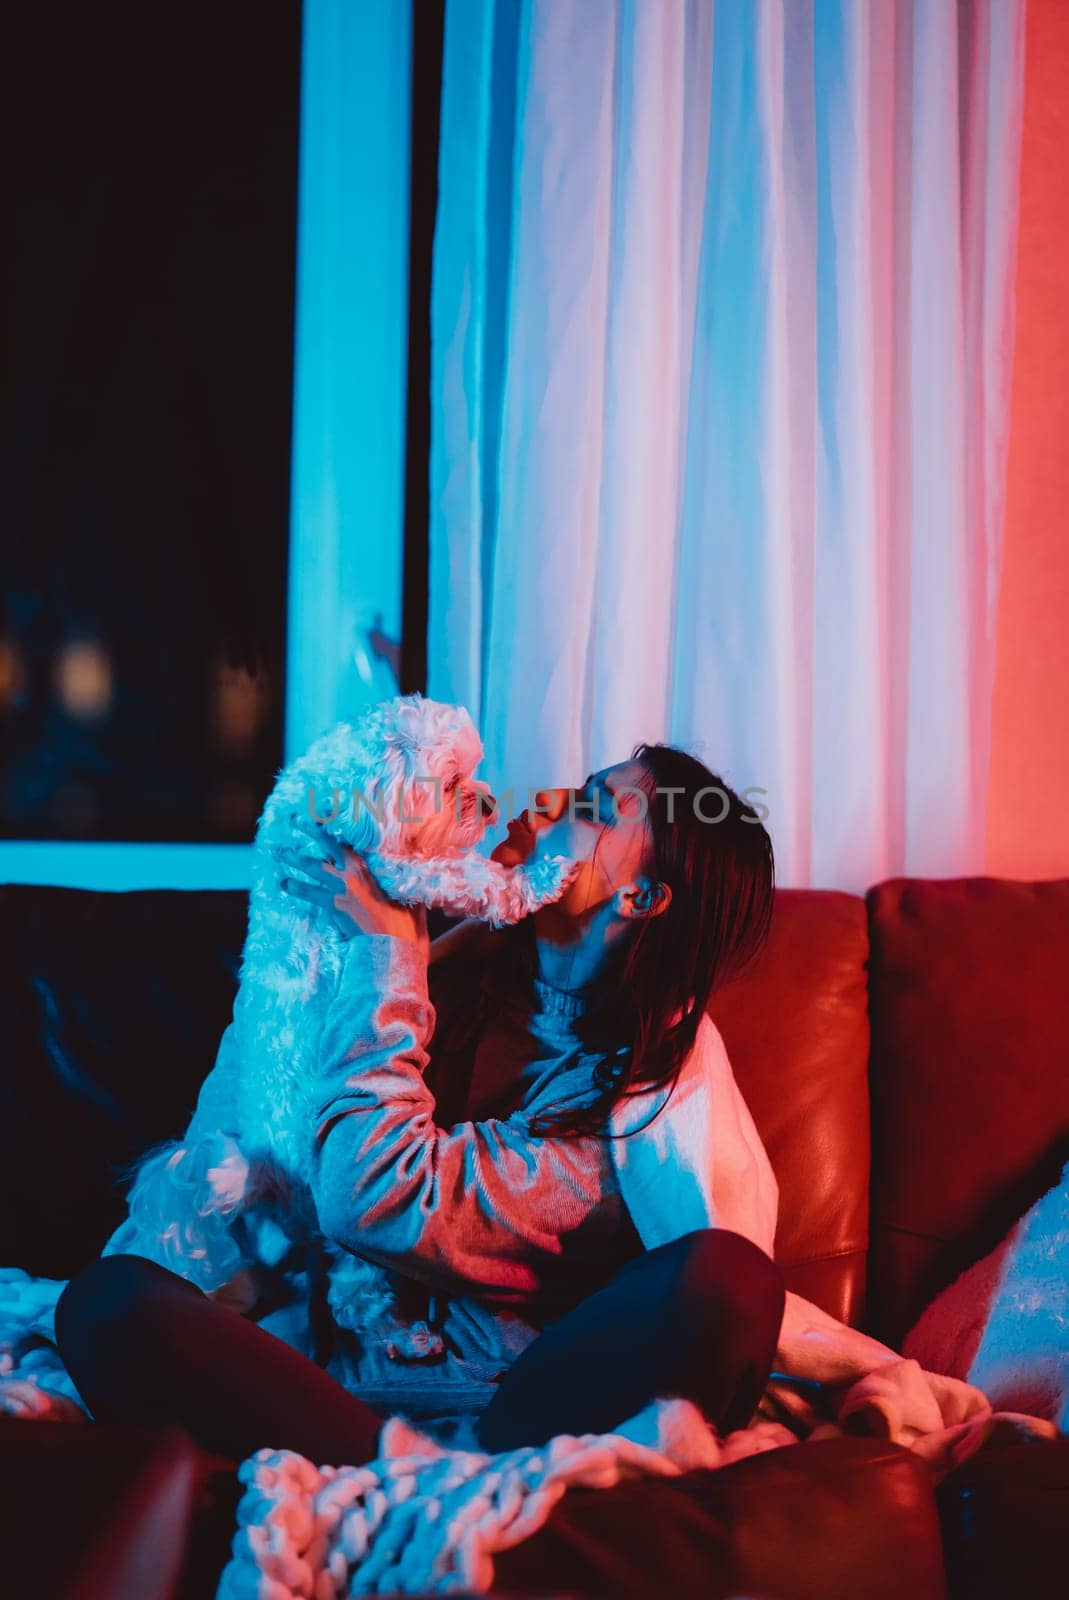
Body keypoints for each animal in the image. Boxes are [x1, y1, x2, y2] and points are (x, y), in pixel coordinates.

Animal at [109, 694, 576, 1356]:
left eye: (475, 772)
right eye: (451, 781)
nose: (488, 802)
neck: (346, 784)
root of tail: (259, 1169)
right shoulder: (394, 865)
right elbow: (467, 876)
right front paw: (538, 880)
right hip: (343, 1210)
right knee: (354, 1291)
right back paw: (398, 1334)